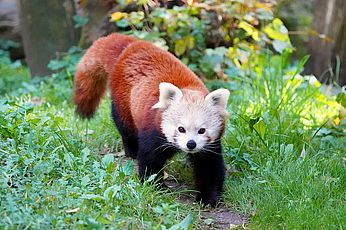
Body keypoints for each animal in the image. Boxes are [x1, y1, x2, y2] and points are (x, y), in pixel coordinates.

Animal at [73, 32, 230, 207]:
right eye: (181, 128)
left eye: (202, 130)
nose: (191, 144)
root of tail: (132, 44)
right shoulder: (154, 129)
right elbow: (150, 160)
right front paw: (157, 186)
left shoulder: (210, 146)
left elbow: (210, 167)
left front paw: (208, 197)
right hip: (123, 100)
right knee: (125, 126)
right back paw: (132, 150)